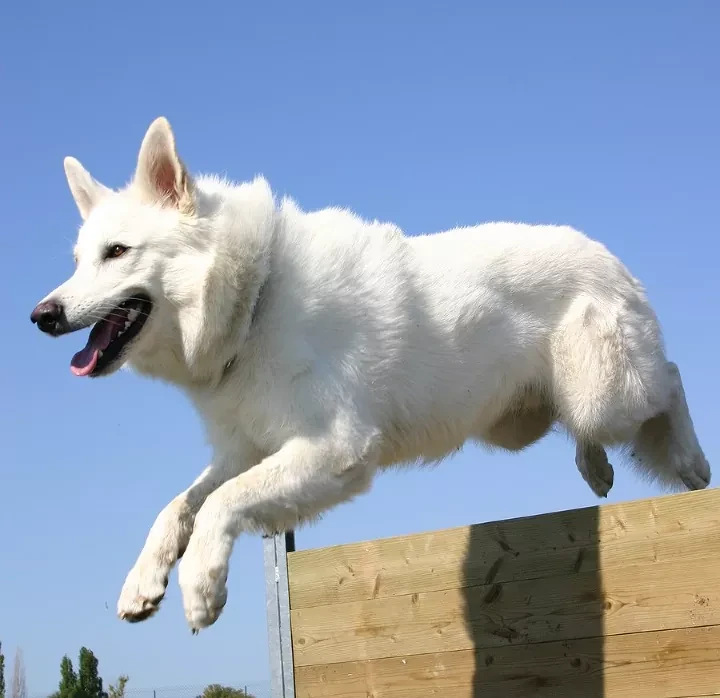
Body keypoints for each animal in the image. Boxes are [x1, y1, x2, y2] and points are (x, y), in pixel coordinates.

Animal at [29, 117, 708, 628]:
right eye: (79, 260)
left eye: (118, 253)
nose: (42, 315)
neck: (257, 298)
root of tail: (608, 254)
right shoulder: (248, 450)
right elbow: (179, 505)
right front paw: (142, 581)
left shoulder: (333, 448)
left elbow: (220, 504)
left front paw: (202, 587)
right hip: (533, 419)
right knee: (595, 425)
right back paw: (596, 469)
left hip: (606, 393)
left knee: (670, 377)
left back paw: (693, 464)